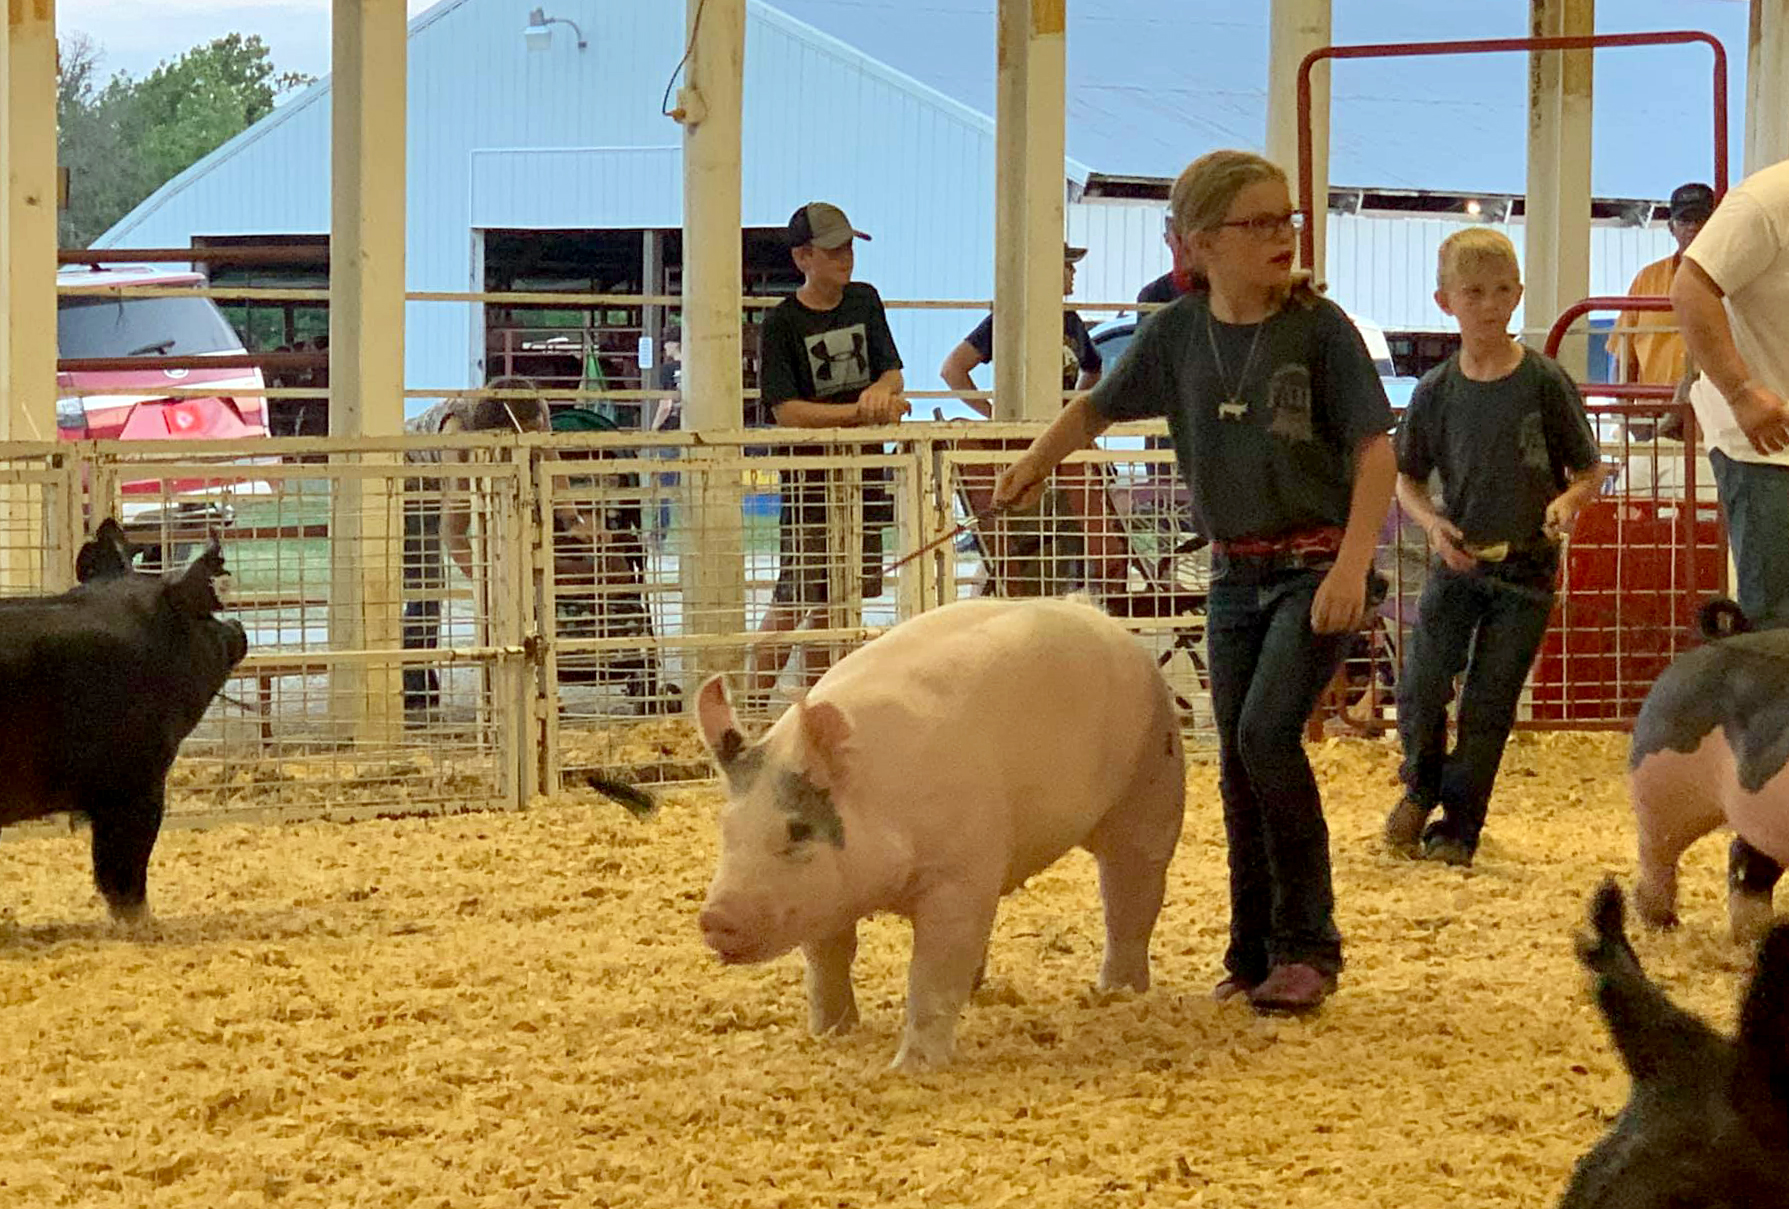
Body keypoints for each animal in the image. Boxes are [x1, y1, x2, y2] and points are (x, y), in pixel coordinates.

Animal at [690, 593, 1180, 1065]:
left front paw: (912, 1067)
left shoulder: (959, 876)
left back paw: (1116, 992)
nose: (715, 917)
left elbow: (933, 972)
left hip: (1151, 786)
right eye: (726, 826)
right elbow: (827, 958)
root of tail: (1097, 614)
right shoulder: (828, 896)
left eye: (798, 830)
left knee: (1130, 893)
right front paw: (829, 1033)